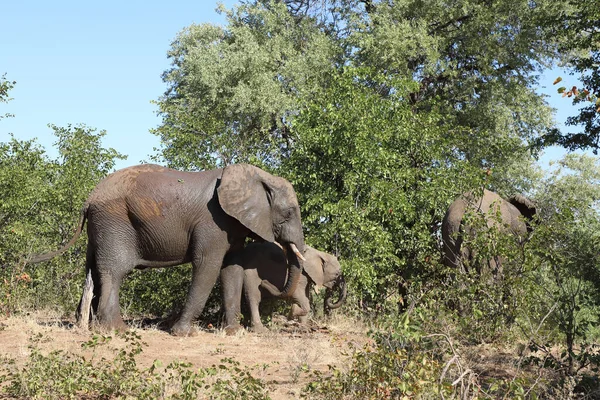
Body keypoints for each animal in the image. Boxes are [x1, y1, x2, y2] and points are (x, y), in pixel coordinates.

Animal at [28, 162, 308, 334]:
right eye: (289, 213)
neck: (257, 176)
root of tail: (89, 199)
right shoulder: (213, 222)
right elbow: (207, 266)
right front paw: (183, 333)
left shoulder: (232, 225)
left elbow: (232, 269)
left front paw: (232, 332)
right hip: (113, 221)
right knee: (114, 272)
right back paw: (115, 329)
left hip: (99, 228)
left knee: (94, 270)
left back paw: (88, 324)